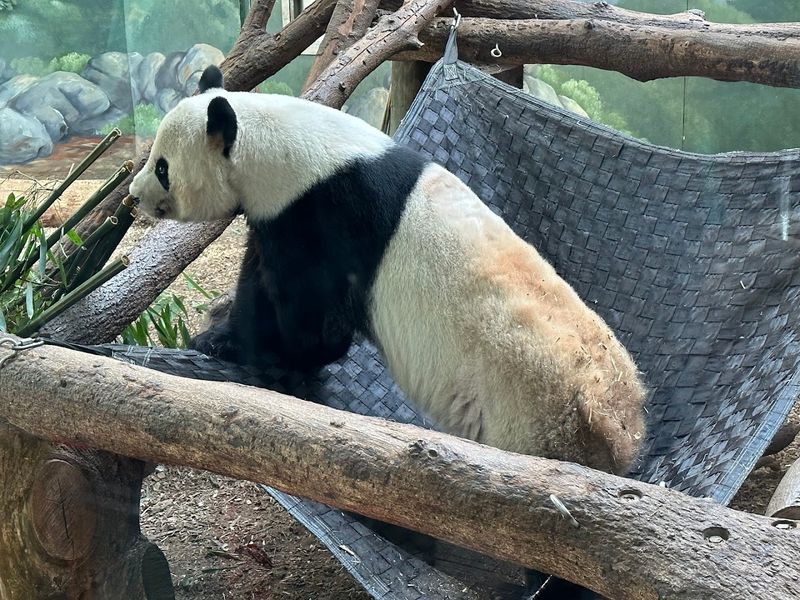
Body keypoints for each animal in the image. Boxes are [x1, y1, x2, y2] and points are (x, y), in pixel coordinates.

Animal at [129, 64, 646, 474]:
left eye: (162, 167)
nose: (133, 196)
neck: (274, 143)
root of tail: (622, 431)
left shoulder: (323, 216)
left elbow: (316, 330)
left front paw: (237, 347)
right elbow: (260, 280)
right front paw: (221, 328)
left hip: (529, 423)